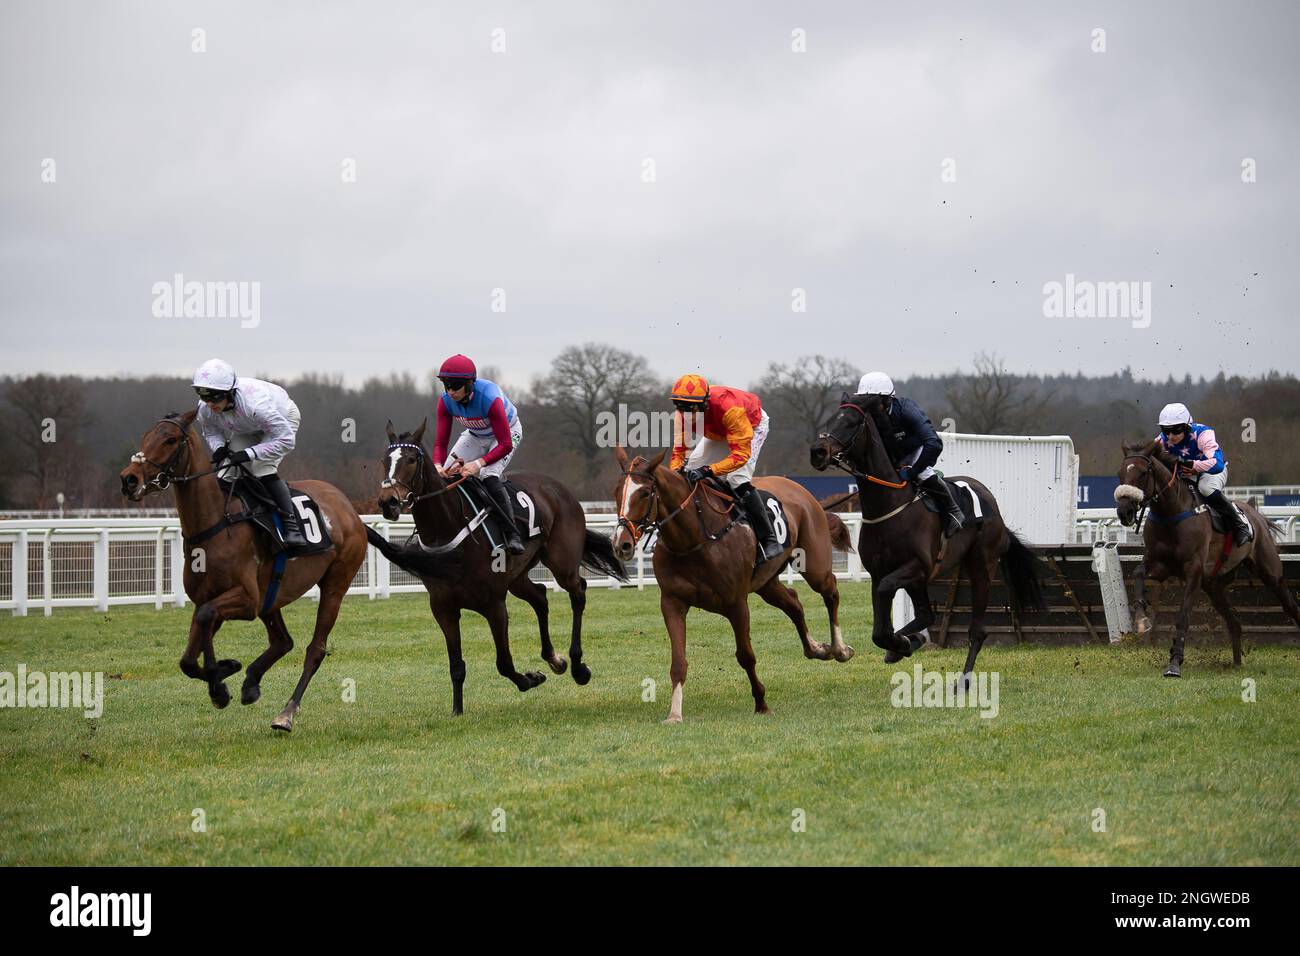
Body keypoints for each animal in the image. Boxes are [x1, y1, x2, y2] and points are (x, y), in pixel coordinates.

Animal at [117, 408, 366, 733]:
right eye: (146, 436)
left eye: (170, 440)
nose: (129, 479)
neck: (215, 523)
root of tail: (350, 510)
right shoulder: (213, 597)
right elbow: (189, 655)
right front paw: (223, 678)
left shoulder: (246, 599)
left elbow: (205, 617)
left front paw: (221, 677)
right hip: (271, 595)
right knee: (283, 641)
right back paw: (251, 681)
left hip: (335, 585)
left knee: (315, 649)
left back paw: (286, 713)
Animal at [366, 421, 629, 712]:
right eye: (384, 461)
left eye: (411, 459)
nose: (388, 502)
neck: (449, 529)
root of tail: (559, 488)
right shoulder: (443, 608)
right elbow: (456, 666)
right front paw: (457, 711)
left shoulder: (494, 605)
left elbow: (503, 663)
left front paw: (530, 679)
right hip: (517, 577)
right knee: (540, 596)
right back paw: (554, 659)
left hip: (562, 563)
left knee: (578, 591)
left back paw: (577, 666)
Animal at [613, 444, 857, 723]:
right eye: (617, 492)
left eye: (644, 492)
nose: (621, 544)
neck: (694, 539)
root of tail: (803, 492)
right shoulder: (672, 602)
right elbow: (678, 661)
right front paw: (674, 714)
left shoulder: (736, 604)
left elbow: (746, 656)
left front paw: (761, 703)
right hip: (766, 582)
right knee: (794, 602)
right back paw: (816, 648)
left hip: (814, 564)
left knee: (831, 592)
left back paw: (839, 649)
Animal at [806, 395, 1040, 681]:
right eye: (830, 420)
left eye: (851, 423)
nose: (818, 451)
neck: (890, 504)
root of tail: (993, 507)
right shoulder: (880, 573)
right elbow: (879, 632)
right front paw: (904, 644)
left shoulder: (917, 567)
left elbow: (886, 604)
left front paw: (903, 642)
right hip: (922, 581)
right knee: (927, 615)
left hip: (981, 567)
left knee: (977, 630)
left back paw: (963, 681)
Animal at [1112, 437, 1294, 676]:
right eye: (1120, 473)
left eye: (1143, 473)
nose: (1124, 512)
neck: (1171, 512)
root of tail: (1256, 514)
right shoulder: (1160, 565)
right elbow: (1138, 573)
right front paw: (1142, 620)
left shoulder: (1193, 571)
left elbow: (1183, 616)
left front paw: (1175, 662)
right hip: (1213, 585)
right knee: (1234, 623)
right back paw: (1236, 664)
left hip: (1270, 572)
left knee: (1290, 606)